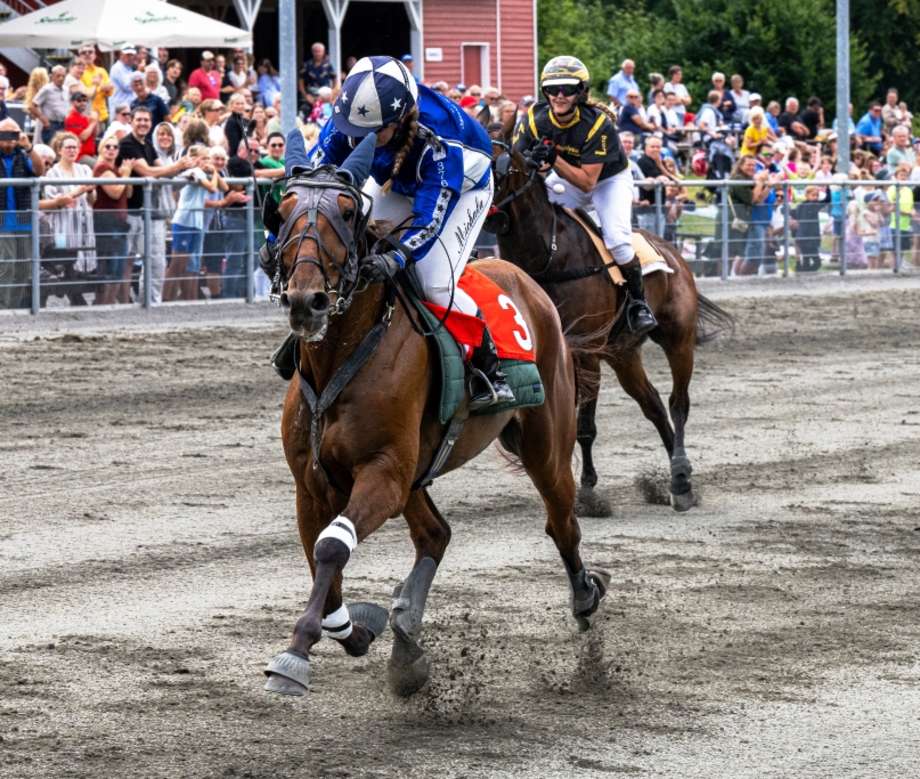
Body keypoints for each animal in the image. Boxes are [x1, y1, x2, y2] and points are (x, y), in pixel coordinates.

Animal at [262, 134, 609, 698]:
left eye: (346, 211)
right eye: (285, 207)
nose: (305, 301)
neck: (342, 355)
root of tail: (527, 280)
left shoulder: (384, 471)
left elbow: (334, 547)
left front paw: (295, 655)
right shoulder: (312, 482)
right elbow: (321, 558)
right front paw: (359, 629)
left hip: (544, 443)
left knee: (562, 522)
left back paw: (584, 597)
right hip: (419, 472)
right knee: (435, 534)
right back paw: (405, 636)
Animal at [486, 142, 734, 515]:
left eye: (498, 167)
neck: (549, 256)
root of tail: (673, 253)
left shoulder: (587, 351)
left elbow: (584, 425)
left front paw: (587, 493)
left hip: (677, 339)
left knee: (678, 403)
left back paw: (680, 479)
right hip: (623, 354)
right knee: (654, 405)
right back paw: (680, 478)